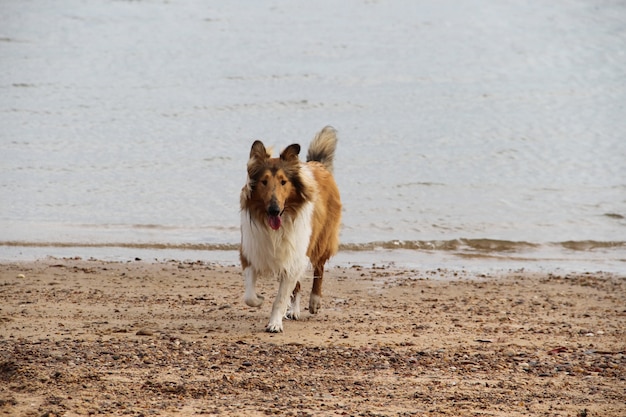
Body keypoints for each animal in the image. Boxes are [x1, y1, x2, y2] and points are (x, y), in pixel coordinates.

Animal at [240, 125, 342, 334]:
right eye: (264, 181)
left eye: (283, 181)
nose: (274, 209)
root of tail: (316, 164)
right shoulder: (251, 252)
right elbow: (249, 296)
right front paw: (260, 299)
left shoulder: (295, 255)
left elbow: (280, 298)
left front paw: (274, 324)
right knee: (298, 285)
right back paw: (294, 310)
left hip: (319, 241)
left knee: (319, 269)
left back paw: (314, 301)